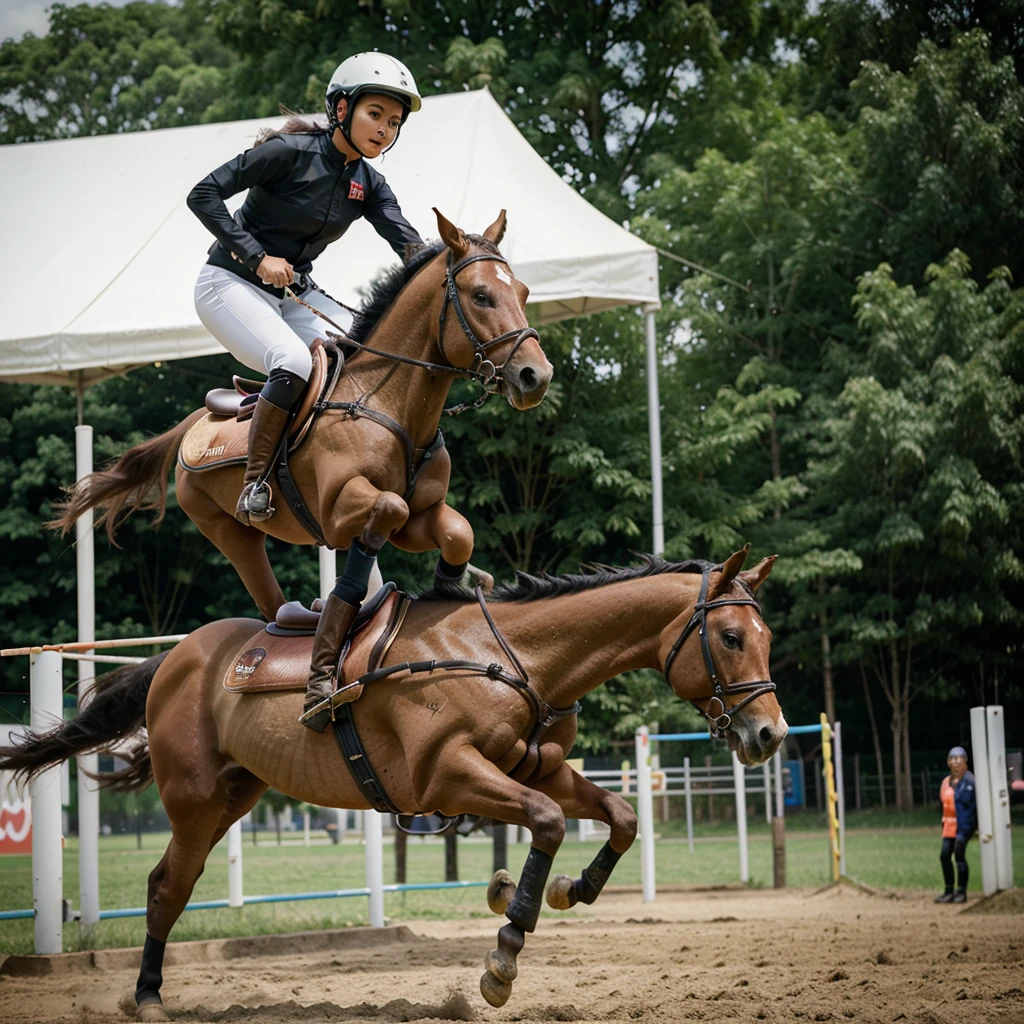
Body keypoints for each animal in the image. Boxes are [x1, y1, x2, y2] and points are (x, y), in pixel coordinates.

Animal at [0, 548, 786, 1019]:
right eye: (732, 639)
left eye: (768, 637)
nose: (770, 735)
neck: (514, 655)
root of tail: (172, 660)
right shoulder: (450, 777)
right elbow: (548, 822)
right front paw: (504, 950)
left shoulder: (535, 768)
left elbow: (617, 816)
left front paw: (565, 890)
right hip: (195, 803)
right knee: (168, 887)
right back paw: (149, 996)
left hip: (234, 795)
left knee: (172, 882)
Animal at [54, 211, 552, 618]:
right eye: (481, 296)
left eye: (524, 291)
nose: (536, 375)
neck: (391, 406)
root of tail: (198, 420)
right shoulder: (337, 513)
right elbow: (389, 505)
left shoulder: (421, 516)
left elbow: (458, 532)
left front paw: (451, 587)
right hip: (227, 530)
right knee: (267, 602)